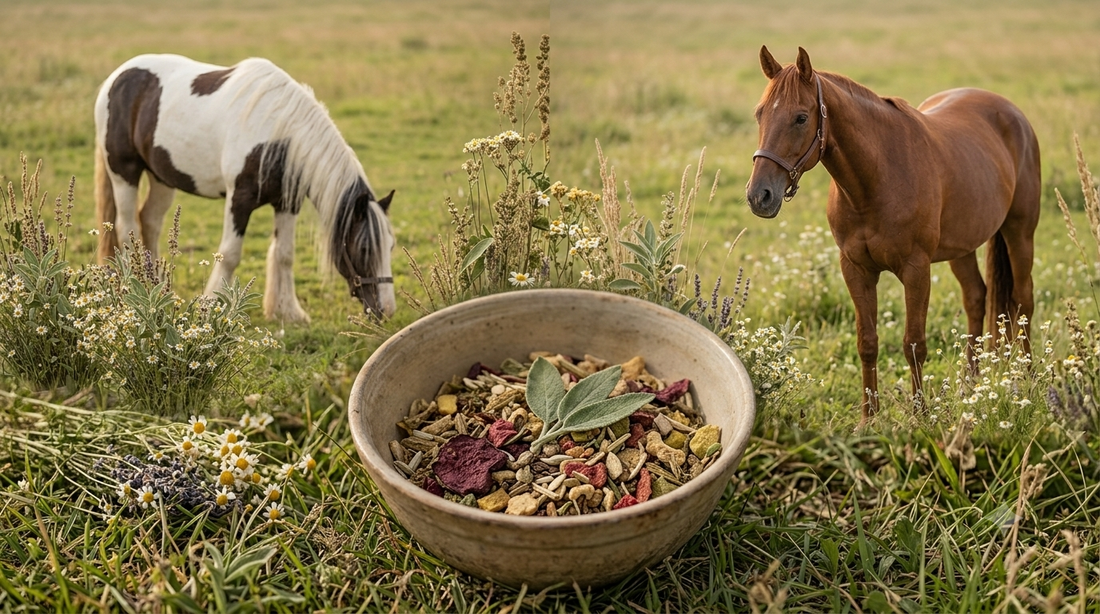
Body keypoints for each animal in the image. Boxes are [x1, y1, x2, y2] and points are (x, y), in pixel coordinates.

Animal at [93, 53, 397, 323]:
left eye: (391, 245)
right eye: (366, 249)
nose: (387, 310)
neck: (279, 135)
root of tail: (115, 78)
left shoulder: (288, 203)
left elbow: (285, 255)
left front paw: (289, 312)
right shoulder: (239, 200)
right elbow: (229, 255)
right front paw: (211, 305)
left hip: (162, 177)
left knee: (150, 221)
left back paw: (155, 287)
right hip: (124, 173)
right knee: (127, 226)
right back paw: (136, 288)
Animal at [745, 46, 1040, 425]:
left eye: (800, 118)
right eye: (760, 113)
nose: (760, 196)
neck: (878, 177)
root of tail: (1012, 112)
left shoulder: (916, 270)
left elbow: (913, 344)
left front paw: (919, 415)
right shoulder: (856, 269)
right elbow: (867, 342)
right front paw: (868, 419)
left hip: (1020, 233)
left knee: (1023, 300)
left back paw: (1027, 379)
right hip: (963, 247)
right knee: (976, 297)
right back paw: (970, 384)